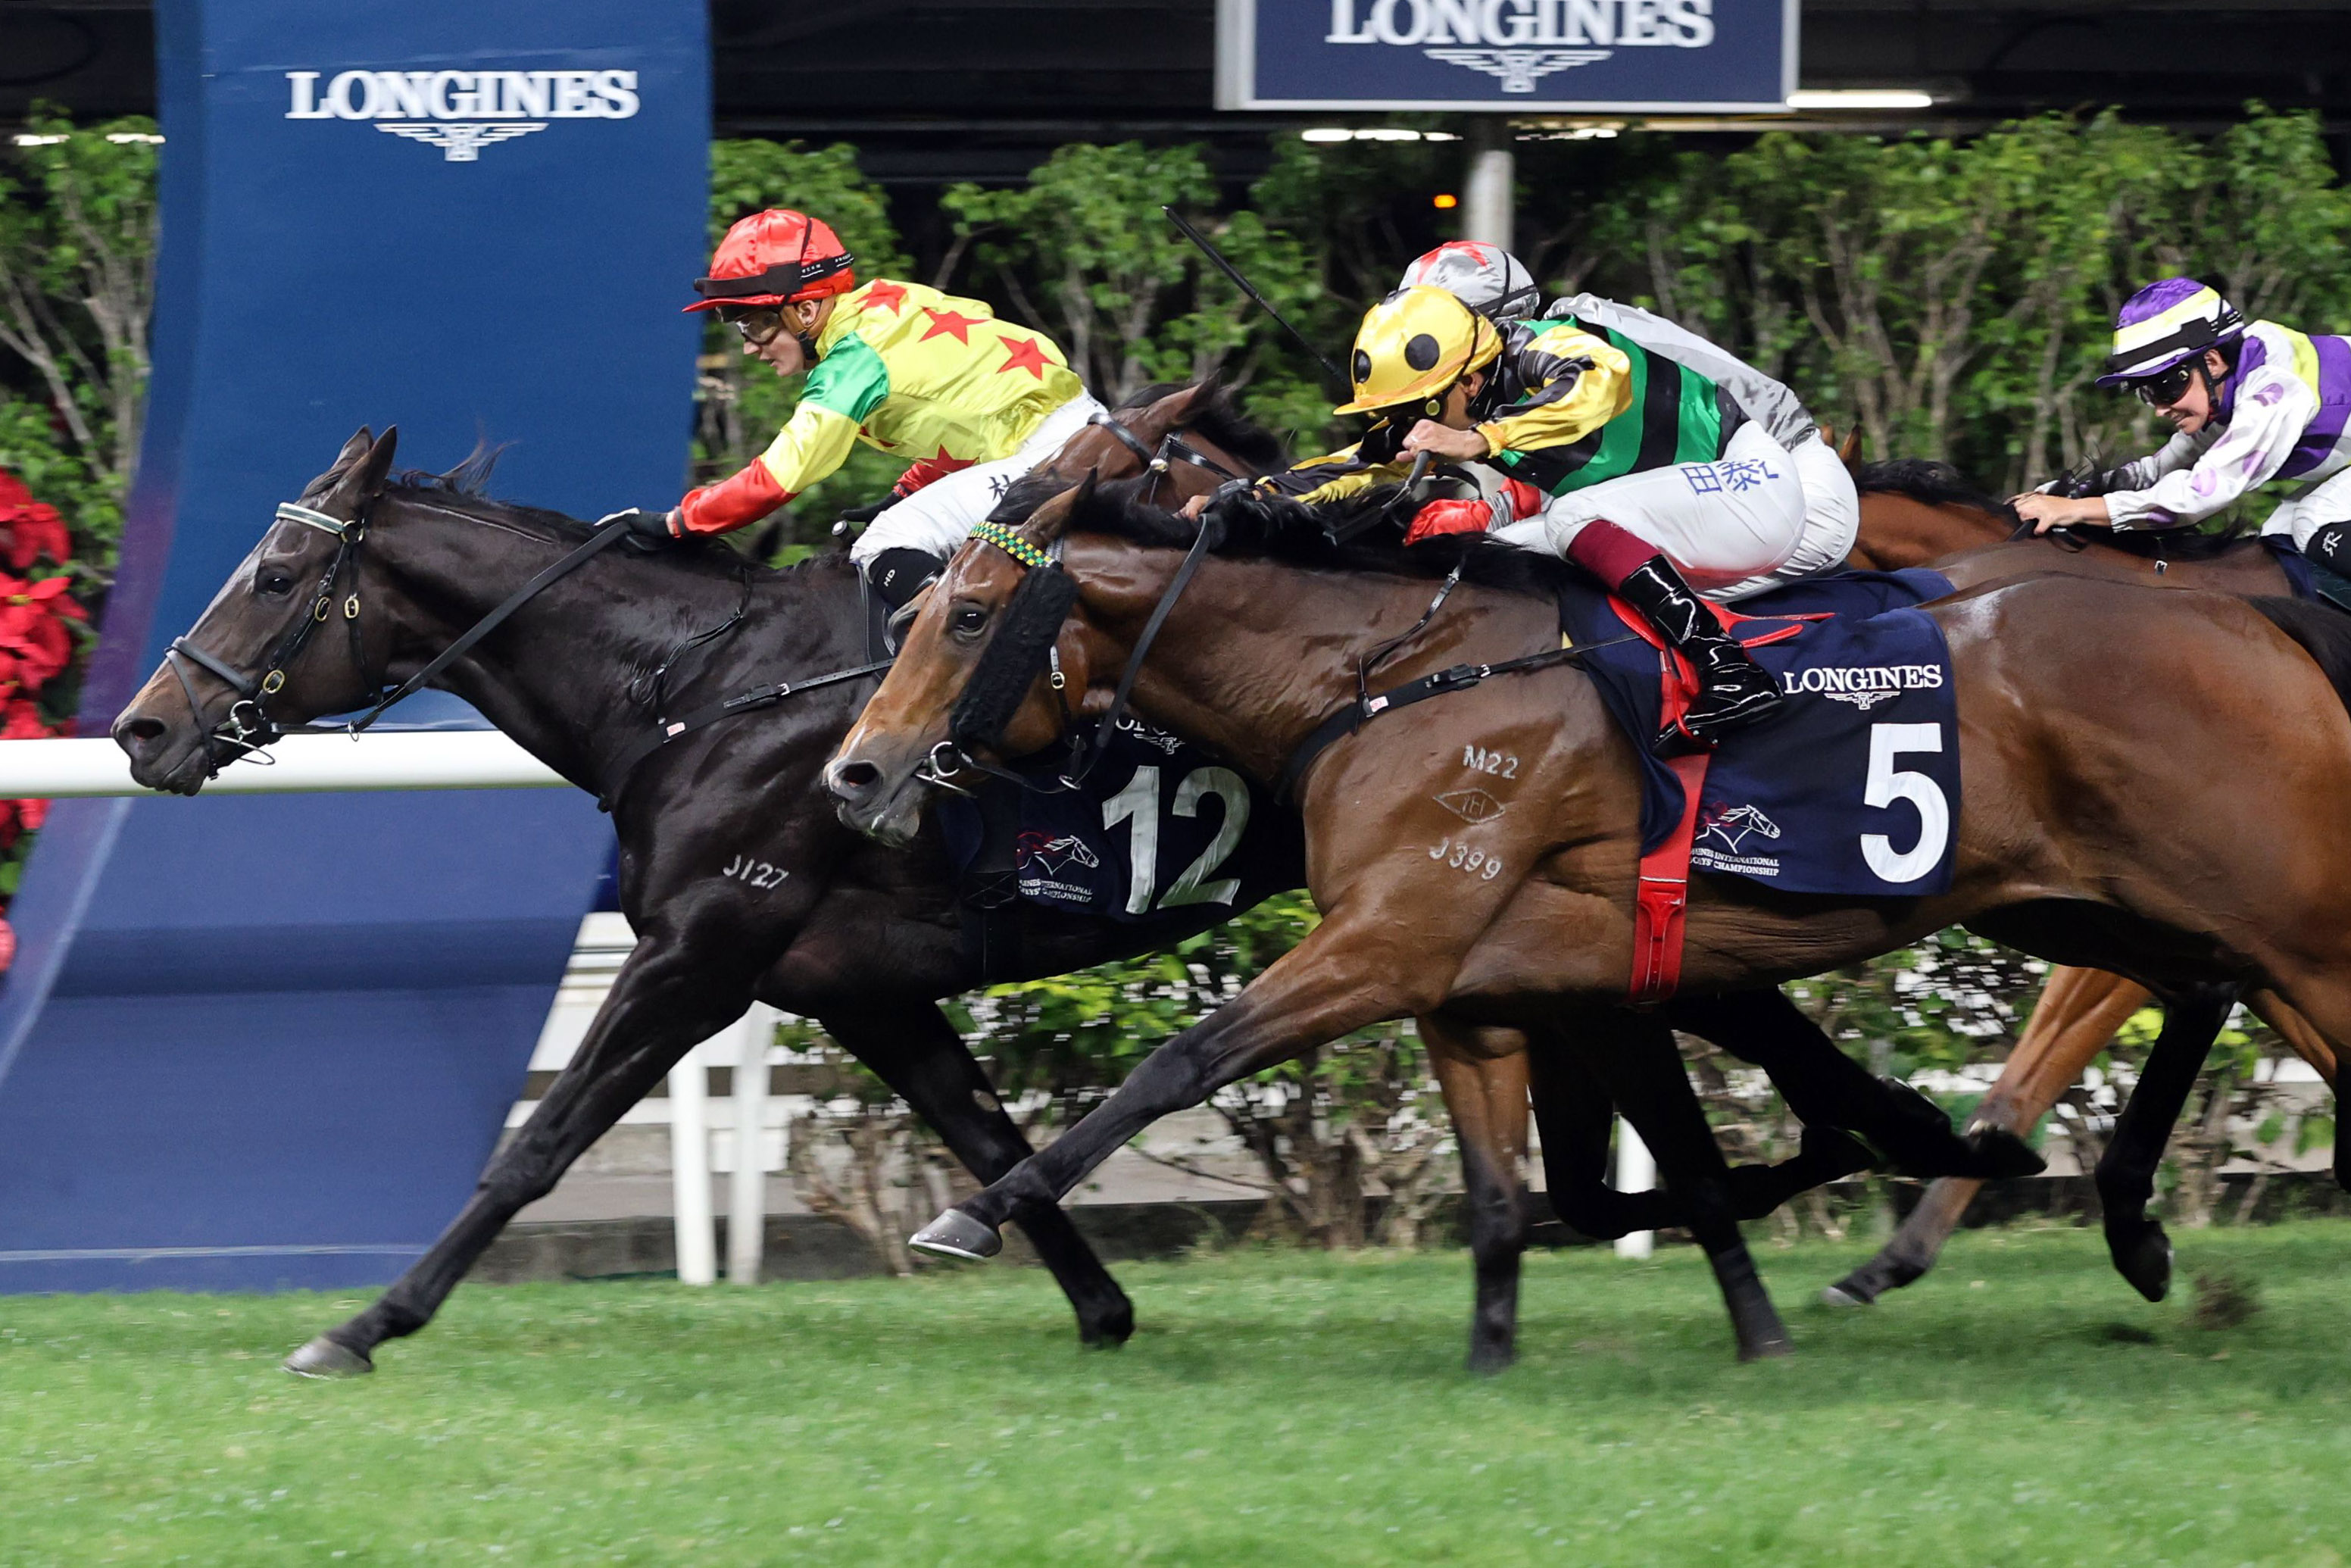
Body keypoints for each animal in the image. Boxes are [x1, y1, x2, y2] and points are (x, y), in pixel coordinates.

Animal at [832, 474, 2351, 1363]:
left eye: (967, 614)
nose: (856, 770)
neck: (1391, 673)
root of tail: (2250, 618)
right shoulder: (1471, 985)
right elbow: (1508, 1198)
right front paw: (1496, 1357)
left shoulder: (1390, 939)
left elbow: (1176, 1062)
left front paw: (977, 1212)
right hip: (2108, 909)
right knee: (2188, 1001)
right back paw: (2082, 1212)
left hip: (2276, 917)